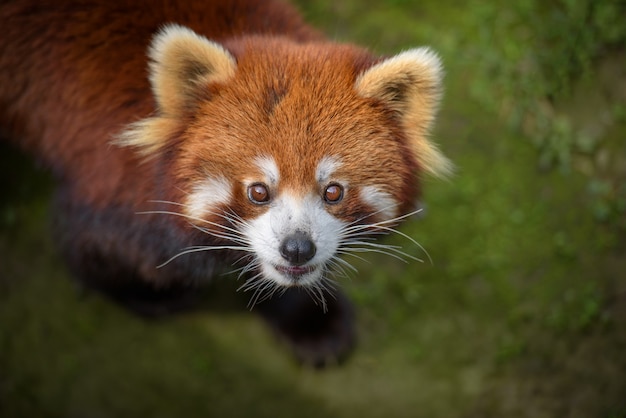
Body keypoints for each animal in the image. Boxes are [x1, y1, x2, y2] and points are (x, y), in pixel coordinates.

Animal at [0, 0, 448, 366]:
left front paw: (308, 318)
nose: (297, 248)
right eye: (258, 191)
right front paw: (142, 291)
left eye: (333, 191)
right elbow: (96, 242)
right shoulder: (107, 176)